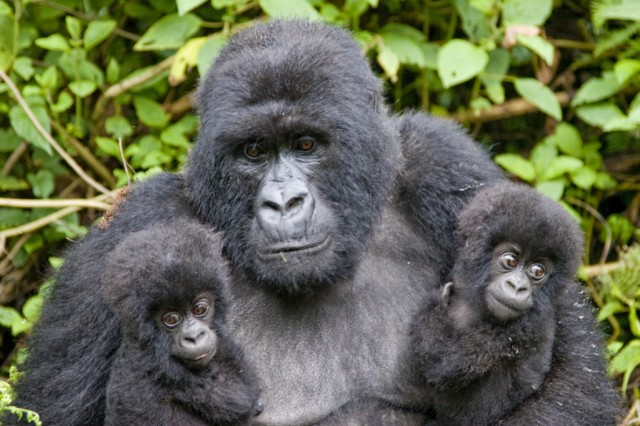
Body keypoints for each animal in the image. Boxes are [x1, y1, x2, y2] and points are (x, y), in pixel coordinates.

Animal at [412, 183, 588, 426]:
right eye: (510, 261)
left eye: (537, 271)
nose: (517, 286)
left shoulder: (524, 328)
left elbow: (442, 363)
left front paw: (437, 304)